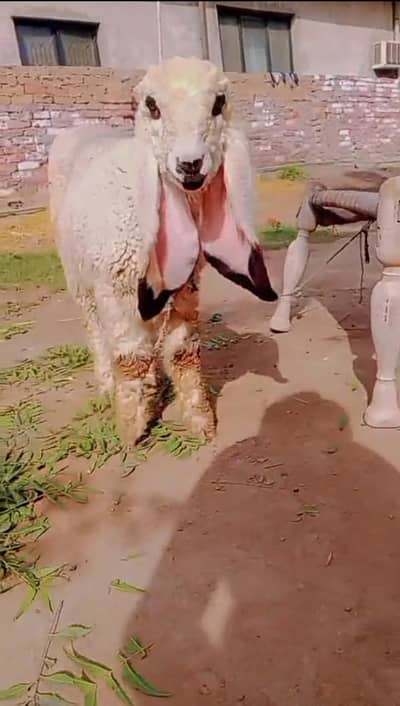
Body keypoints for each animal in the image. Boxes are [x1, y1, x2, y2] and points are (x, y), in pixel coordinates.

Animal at [48, 56, 277, 446]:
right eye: (151, 106)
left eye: (218, 103)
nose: (190, 164)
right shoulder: (114, 287)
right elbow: (130, 359)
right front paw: (131, 429)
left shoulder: (184, 287)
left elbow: (184, 353)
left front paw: (201, 423)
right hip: (78, 274)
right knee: (95, 330)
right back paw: (108, 384)